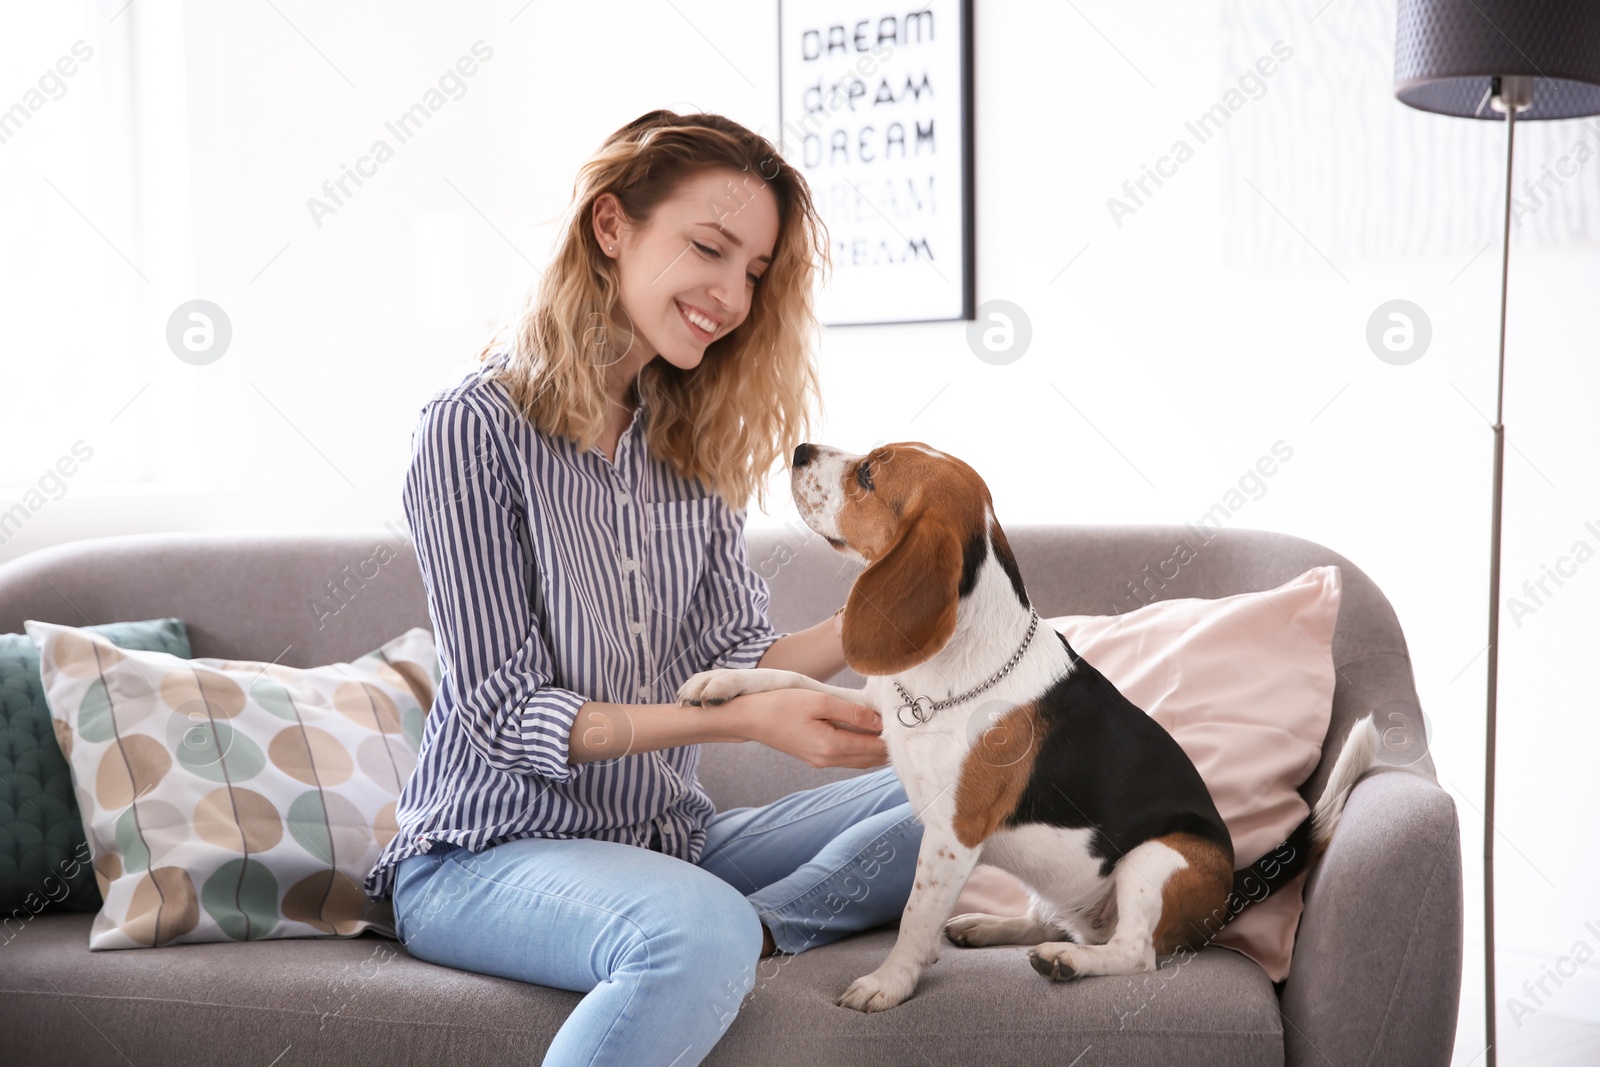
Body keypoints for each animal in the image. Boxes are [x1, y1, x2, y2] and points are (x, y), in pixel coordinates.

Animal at [675, 441, 1388, 1017]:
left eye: (870, 473)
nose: (798, 449)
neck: (957, 662)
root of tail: (1231, 894)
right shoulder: (881, 712)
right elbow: (793, 682)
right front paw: (719, 684)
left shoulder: (953, 833)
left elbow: (913, 915)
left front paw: (890, 982)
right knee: (1055, 922)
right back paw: (991, 929)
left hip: (1159, 858)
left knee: (1133, 951)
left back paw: (1069, 961)